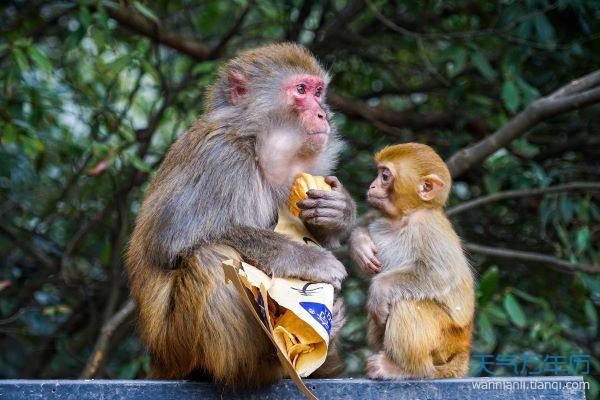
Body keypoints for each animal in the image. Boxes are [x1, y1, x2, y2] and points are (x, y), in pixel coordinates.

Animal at [125, 44, 352, 388]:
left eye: (318, 91)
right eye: (300, 90)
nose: (322, 114)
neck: (252, 139)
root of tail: (159, 360)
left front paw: (338, 212)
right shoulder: (220, 158)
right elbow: (172, 240)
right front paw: (311, 260)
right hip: (175, 346)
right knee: (211, 257)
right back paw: (257, 365)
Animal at [350, 143, 476, 378]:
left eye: (385, 176)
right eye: (378, 173)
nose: (372, 185)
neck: (406, 217)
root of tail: (464, 345)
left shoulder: (427, 227)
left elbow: (441, 275)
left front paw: (380, 287)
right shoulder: (382, 224)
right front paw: (360, 244)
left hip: (446, 340)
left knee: (406, 304)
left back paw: (404, 369)